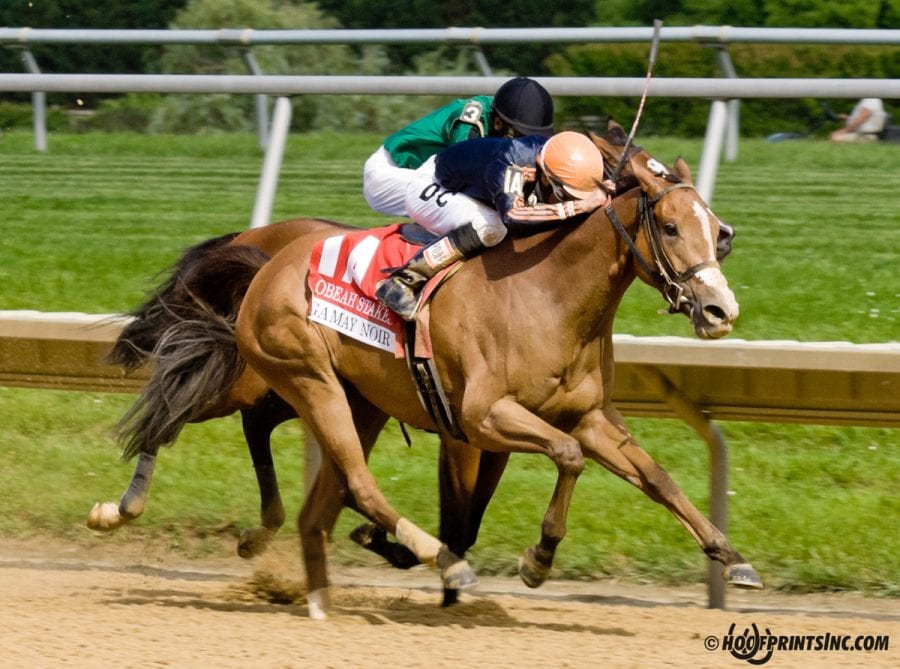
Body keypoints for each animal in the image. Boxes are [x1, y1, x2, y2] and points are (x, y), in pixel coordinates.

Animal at [232, 129, 760, 616]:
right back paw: (442, 562)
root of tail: (268, 264)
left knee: (329, 495)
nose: (721, 310)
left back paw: (320, 595)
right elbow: (568, 457)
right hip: (309, 379)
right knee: (351, 478)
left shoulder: (588, 417)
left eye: (711, 226)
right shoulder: (481, 418)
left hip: (361, 400)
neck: (550, 296)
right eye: (670, 227)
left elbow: (657, 478)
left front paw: (732, 556)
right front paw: (538, 559)